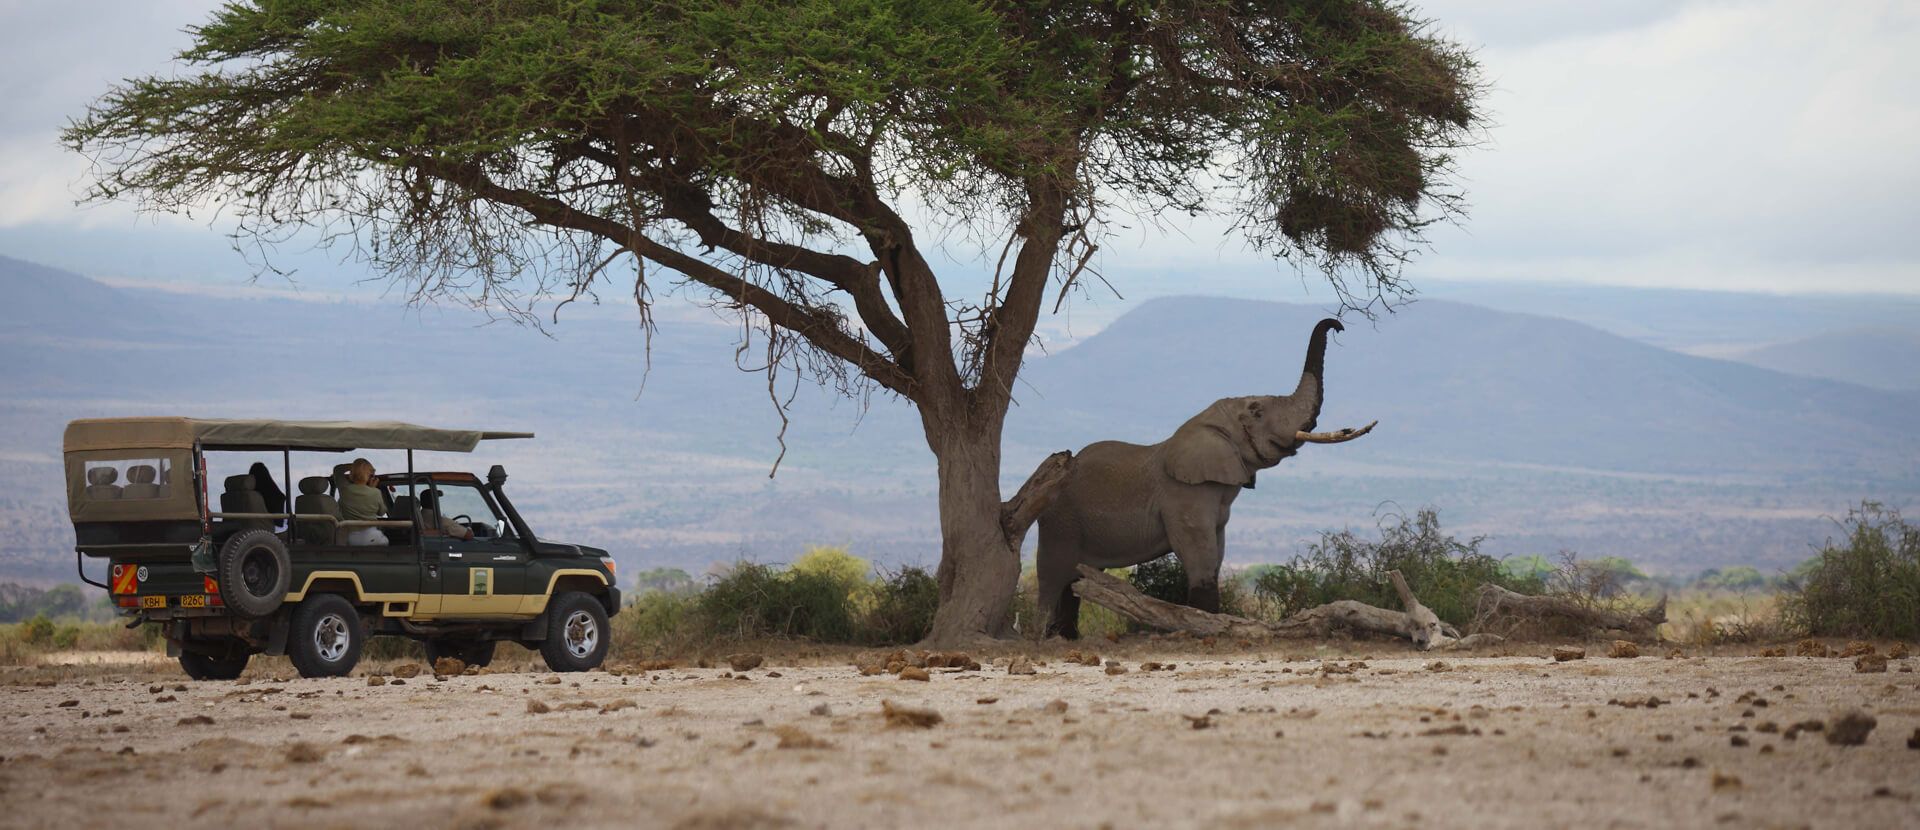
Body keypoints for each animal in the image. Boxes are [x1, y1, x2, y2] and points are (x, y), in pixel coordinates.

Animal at [1036, 317, 1367, 634]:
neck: (1205, 423)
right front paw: (1206, 624)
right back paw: (1044, 633)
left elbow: (1216, 552)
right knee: (1053, 577)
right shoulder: (1184, 496)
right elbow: (1200, 554)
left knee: (1072, 584)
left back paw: (1067, 635)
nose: (1339, 327)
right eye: (1257, 412)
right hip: (1059, 521)